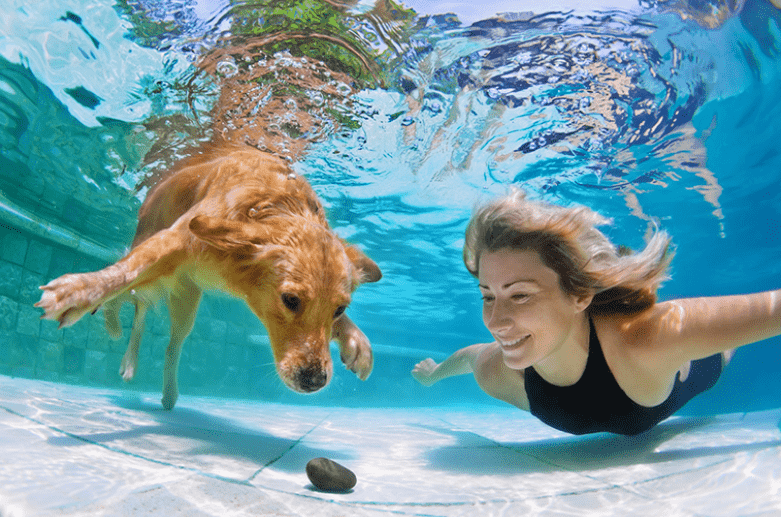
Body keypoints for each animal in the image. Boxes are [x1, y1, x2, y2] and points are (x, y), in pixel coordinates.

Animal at [35, 144, 382, 408]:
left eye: (339, 309)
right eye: (290, 300)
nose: (315, 381)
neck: (272, 204)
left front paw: (356, 342)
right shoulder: (175, 238)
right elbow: (122, 274)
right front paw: (81, 290)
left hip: (186, 300)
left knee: (168, 340)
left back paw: (166, 392)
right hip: (151, 257)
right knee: (133, 297)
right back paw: (119, 339)